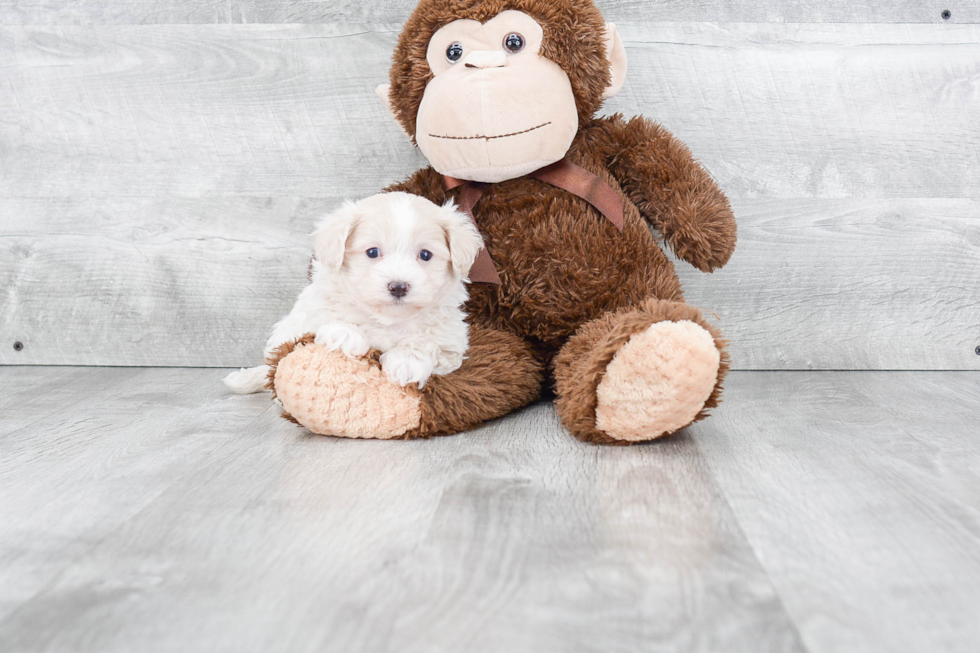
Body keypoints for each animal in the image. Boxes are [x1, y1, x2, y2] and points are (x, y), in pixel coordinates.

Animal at [222, 188, 482, 392]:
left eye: (425, 255)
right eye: (372, 252)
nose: (398, 286)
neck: (387, 320)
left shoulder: (450, 342)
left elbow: (425, 343)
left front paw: (406, 362)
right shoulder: (307, 315)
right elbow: (330, 317)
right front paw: (345, 334)